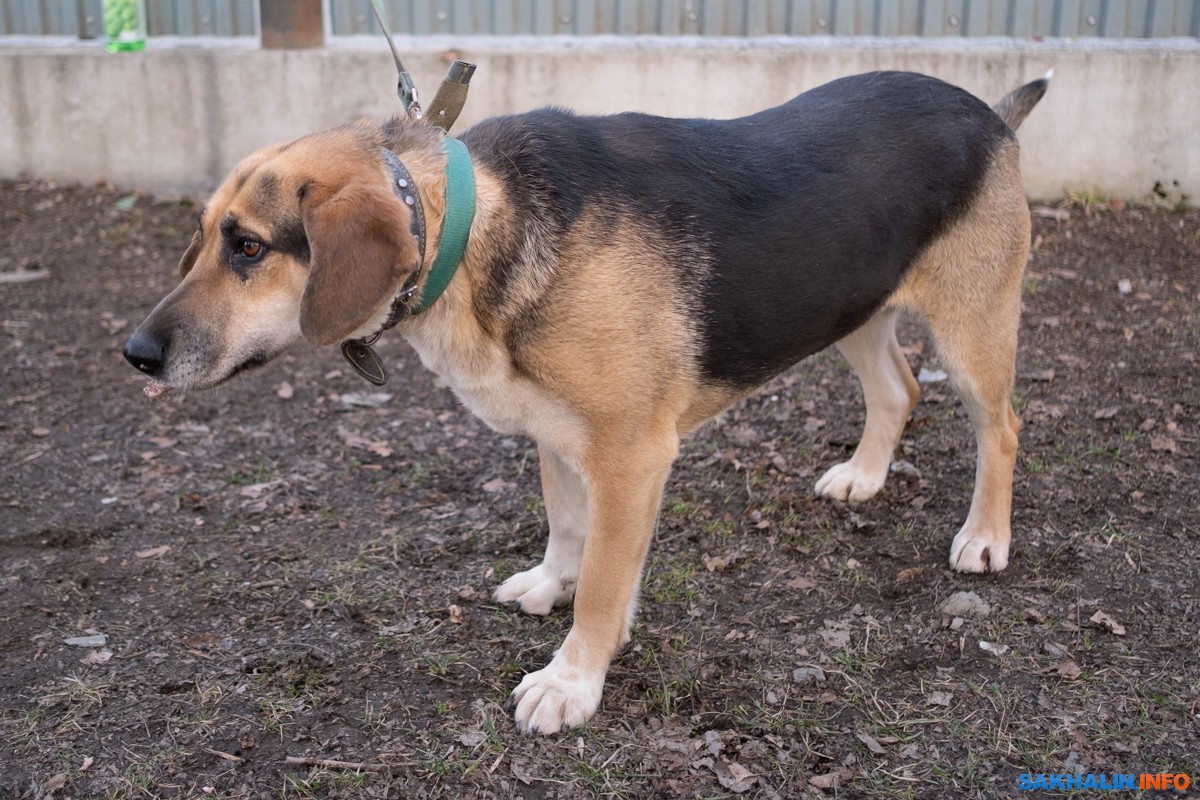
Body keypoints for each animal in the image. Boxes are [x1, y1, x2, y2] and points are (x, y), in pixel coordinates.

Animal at [124, 70, 1051, 738]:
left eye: (248, 248)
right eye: (203, 238)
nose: (135, 354)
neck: (470, 233)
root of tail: (988, 111)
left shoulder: (631, 455)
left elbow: (606, 582)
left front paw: (572, 680)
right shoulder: (560, 438)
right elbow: (571, 532)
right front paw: (552, 584)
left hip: (972, 330)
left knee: (1002, 426)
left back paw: (984, 537)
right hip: (848, 308)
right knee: (898, 389)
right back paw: (864, 476)